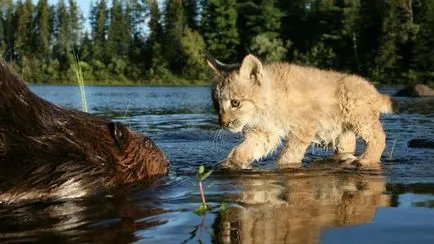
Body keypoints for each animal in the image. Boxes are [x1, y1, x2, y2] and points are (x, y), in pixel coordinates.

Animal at [208, 54, 396, 170]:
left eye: (235, 103)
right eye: (216, 104)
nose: (223, 123)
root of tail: (373, 89)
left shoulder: (304, 127)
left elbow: (289, 154)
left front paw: (284, 167)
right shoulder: (265, 132)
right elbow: (247, 148)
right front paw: (232, 163)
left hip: (357, 113)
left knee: (379, 137)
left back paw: (366, 160)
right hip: (342, 131)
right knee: (349, 145)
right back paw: (344, 159)